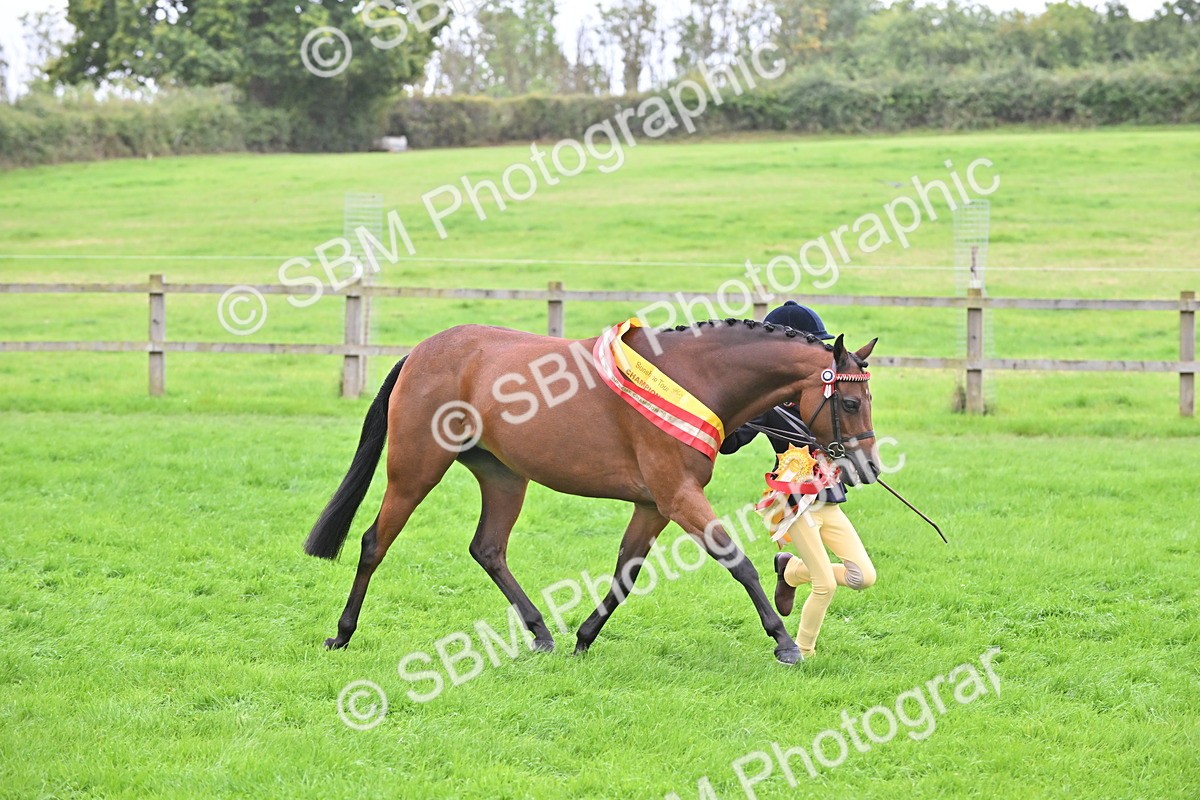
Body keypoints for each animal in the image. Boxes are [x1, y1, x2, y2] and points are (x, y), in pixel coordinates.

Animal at [303, 318, 880, 664]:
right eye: (851, 403)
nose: (867, 468)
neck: (694, 377)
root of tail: (421, 351)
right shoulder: (677, 496)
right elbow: (737, 561)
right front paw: (783, 642)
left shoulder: (652, 504)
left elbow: (626, 572)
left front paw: (583, 638)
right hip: (415, 469)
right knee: (374, 543)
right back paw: (343, 633)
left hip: (504, 476)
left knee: (488, 549)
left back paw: (541, 632)